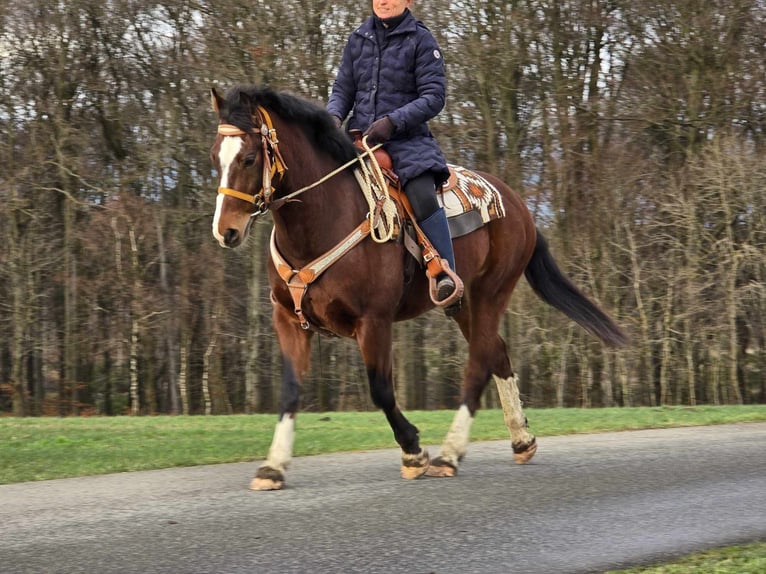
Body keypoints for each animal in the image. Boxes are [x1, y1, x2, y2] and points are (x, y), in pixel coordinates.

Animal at [210, 84, 632, 490]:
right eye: (216, 157)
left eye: (249, 158)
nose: (225, 231)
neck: (324, 219)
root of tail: (517, 204)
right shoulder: (288, 320)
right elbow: (291, 390)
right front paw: (273, 466)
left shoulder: (373, 321)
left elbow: (381, 389)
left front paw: (413, 451)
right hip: (462, 305)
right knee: (498, 355)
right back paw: (521, 440)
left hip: (490, 294)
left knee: (480, 362)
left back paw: (449, 454)